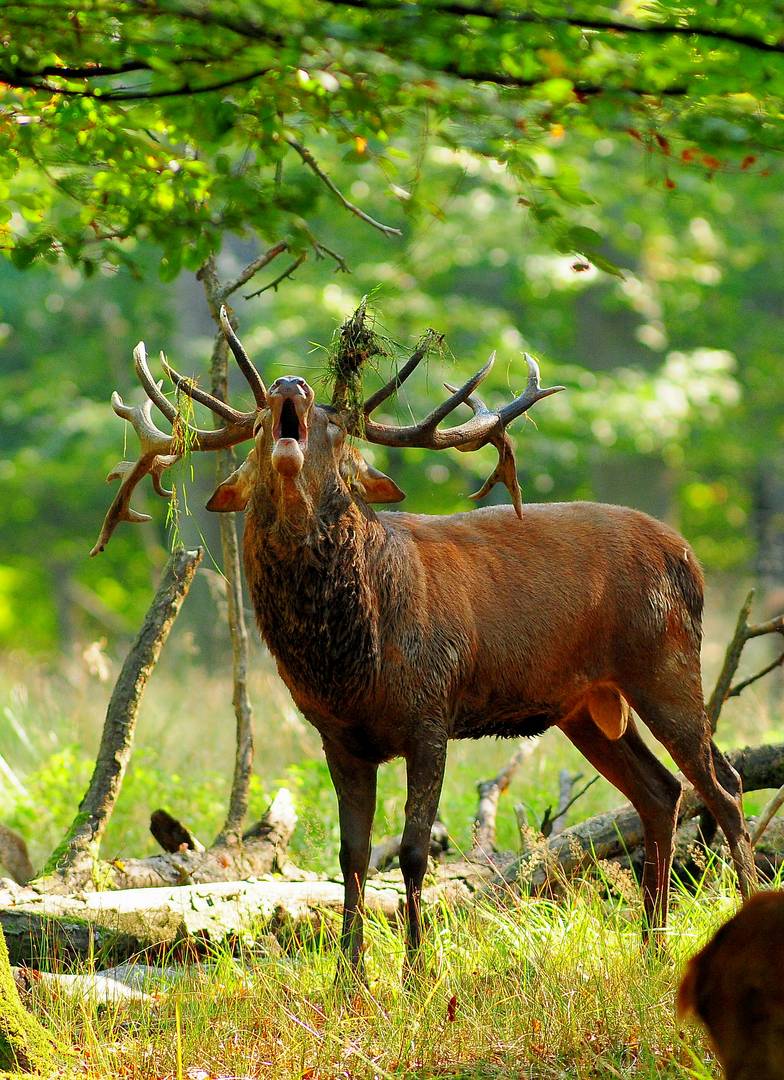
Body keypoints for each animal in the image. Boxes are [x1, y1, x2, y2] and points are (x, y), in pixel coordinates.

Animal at [92, 304, 760, 972]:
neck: (350, 659)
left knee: (724, 785)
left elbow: (415, 852)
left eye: (338, 429)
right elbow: (352, 857)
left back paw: (738, 912)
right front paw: (351, 973)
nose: (290, 384)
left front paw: (415, 970)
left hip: (666, 661)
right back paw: (653, 944)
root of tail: (689, 557)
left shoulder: (432, 712)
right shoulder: (338, 736)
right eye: (257, 423)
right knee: (661, 792)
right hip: (586, 706)